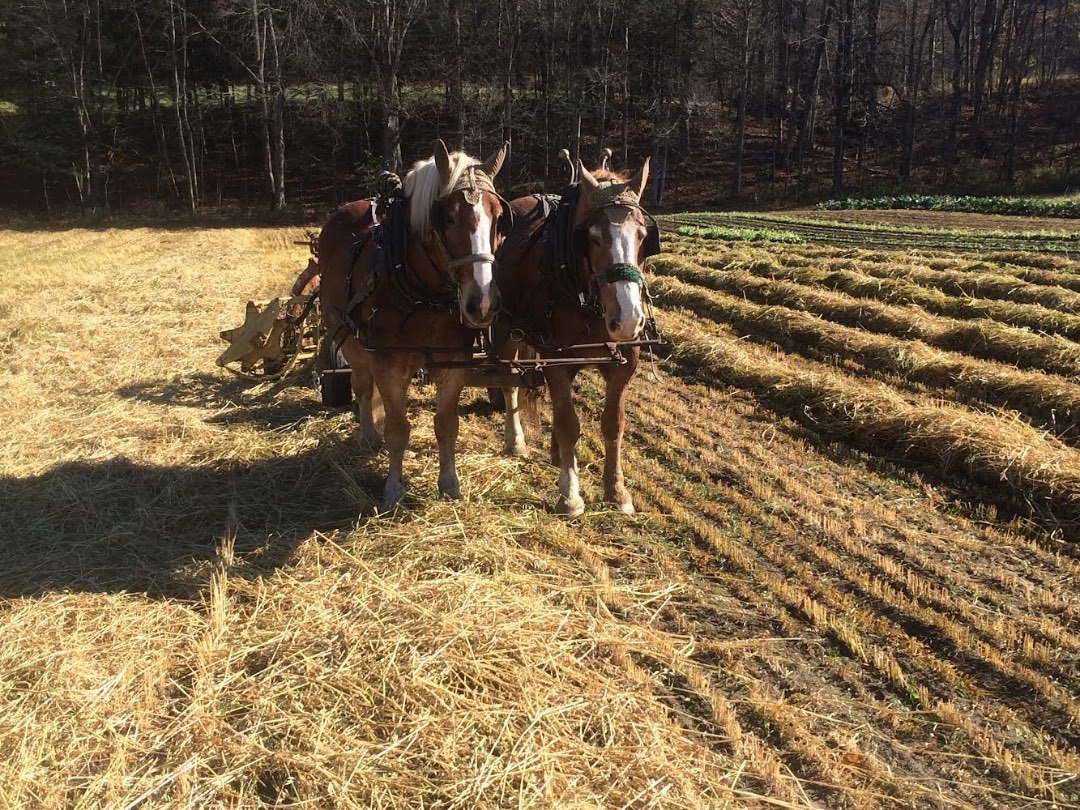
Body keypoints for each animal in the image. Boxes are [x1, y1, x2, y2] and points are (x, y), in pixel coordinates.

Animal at [318, 139, 511, 512]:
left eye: (498, 216)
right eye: (448, 217)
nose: (482, 302)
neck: (426, 297)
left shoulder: (454, 362)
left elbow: (446, 424)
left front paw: (449, 484)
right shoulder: (388, 362)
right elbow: (397, 428)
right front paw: (394, 488)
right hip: (347, 335)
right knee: (361, 385)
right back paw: (368, 435)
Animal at [493, 157, 660, 516]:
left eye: (643, 235)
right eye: (591, 237)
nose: (628, 319)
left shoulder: (624, 363)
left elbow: (613, 423)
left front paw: (616, 491)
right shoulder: (555, 359)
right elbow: (569, 424)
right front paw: (569, 495)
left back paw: (556, 453)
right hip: (504, 329)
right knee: (508, 380)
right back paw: (516, 441)